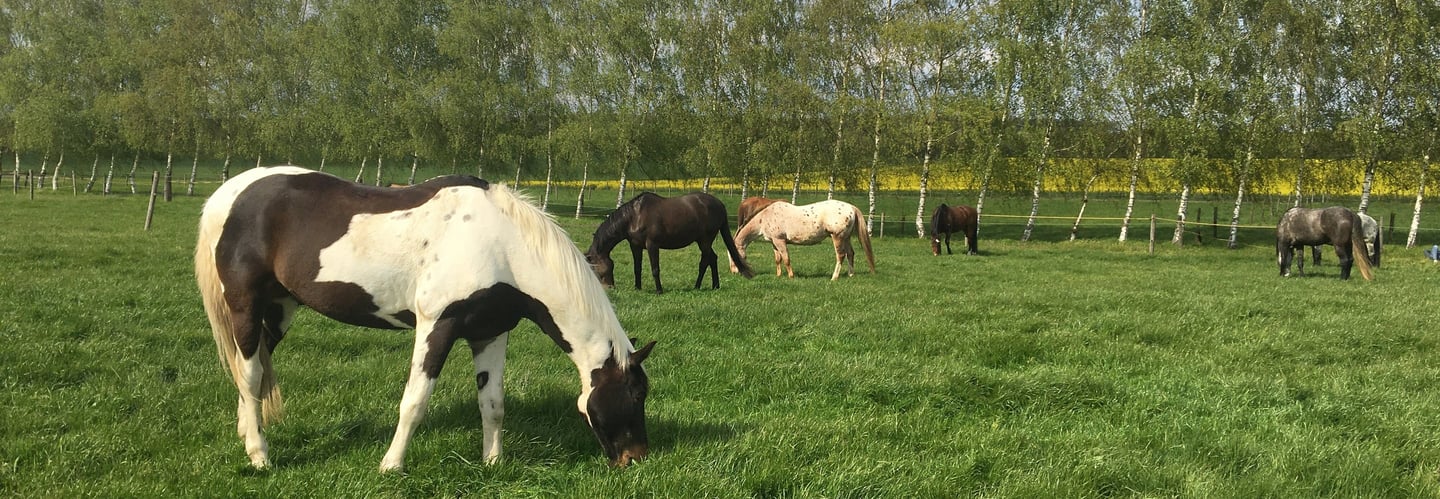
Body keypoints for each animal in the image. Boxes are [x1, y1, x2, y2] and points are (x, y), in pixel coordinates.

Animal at [195, 166, 656, 471]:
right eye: (636, 395)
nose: (636, 459)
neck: (502, 246)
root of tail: (228, 194)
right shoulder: (438, 326)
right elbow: (415, 401)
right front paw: (391, 466)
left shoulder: (490, 333)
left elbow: (493, 402)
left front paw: (492, 463)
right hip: (246, 305)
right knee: (251, 374)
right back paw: (260, 456)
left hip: (279, 309)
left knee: (251, 373)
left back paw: (247, 438)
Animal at [585, 192, 754, 294]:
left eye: (594, 267)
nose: (610, 287)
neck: (635, 216)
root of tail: (720, 204)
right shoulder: (635, 246)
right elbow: (637, 268)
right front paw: (638, 288)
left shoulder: (652, 245)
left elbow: (655, 269)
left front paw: (659, 290)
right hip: (702, 241)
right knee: (711, 259)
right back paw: (710, 286)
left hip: (705, 240)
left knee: (707, 260)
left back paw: (703, 286)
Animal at [730, 199, 875, 280]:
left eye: (732, 256)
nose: (734, 272)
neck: (765, 217)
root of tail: (851, 207)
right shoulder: (774, 243)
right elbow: (778, 260)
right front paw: (778, 275)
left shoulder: (780, 241)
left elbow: (786, 259)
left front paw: (791, 276)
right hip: (846, 237)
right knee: (850, 254)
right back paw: (851, 275)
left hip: (837, 237)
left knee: (841, 255)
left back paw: (834, 277)